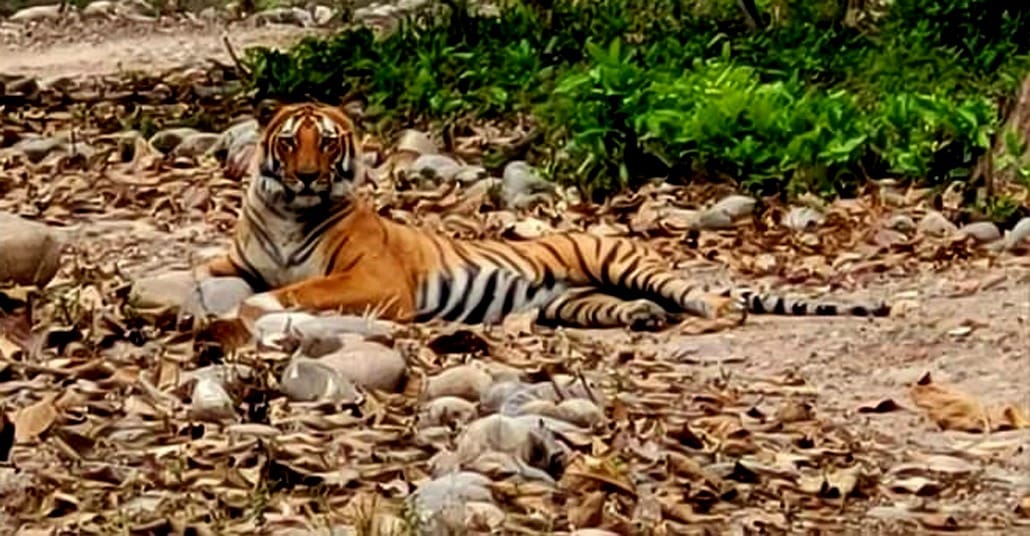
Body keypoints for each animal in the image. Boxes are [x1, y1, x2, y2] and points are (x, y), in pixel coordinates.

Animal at [197, 102, 891, 331]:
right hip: (574, 299)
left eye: (326, 143)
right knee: (625, 306)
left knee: (698, 293)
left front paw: (263, 306)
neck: (288, 212)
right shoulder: (240, 257)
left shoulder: (374, 280)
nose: (307, 176)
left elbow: (304, 289)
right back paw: (643, 319)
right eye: (291, 143)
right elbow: (206, 269)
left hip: (622, 262)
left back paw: (716, 313)